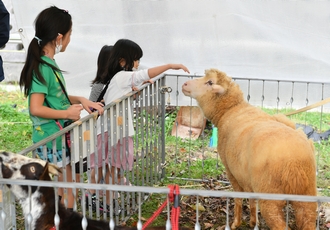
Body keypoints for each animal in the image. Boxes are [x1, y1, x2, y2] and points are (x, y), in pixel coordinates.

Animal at [182, 68, 318, 230]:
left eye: (210, 82)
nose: (184, 84)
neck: (229, 109)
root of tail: (295, 162)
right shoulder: (246, 177)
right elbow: (252, 199)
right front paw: (253, 222)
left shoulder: (232, 171)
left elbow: (239, 198)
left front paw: (236, 223)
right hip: (306, 196)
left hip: (271, 197)